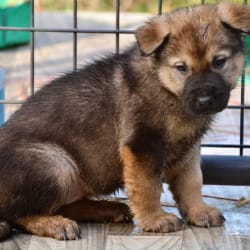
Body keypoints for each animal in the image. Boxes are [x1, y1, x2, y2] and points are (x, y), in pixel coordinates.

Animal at [0, 2, 248, 240]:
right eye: (182, 68)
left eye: (219, 62)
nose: (205, 101)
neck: (164, 85)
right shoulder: (141, 144)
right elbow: (148, 187)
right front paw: (155, 220)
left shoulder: (188, 148)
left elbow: (192, 182)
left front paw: (199, 211)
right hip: (56, 163)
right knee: (18, 214)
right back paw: (55, 224)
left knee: (62, 206)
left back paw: (106, 209)